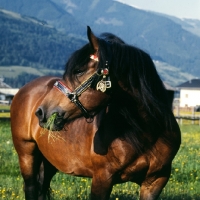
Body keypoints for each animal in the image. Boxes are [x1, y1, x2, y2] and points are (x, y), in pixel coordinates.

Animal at [10, 27, 181, 200]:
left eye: (78, 71)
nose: (41, 112)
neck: (147, 133)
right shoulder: (102, 178)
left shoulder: (155, 182)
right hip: (26, 153)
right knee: (31, 187)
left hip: (49, 159)